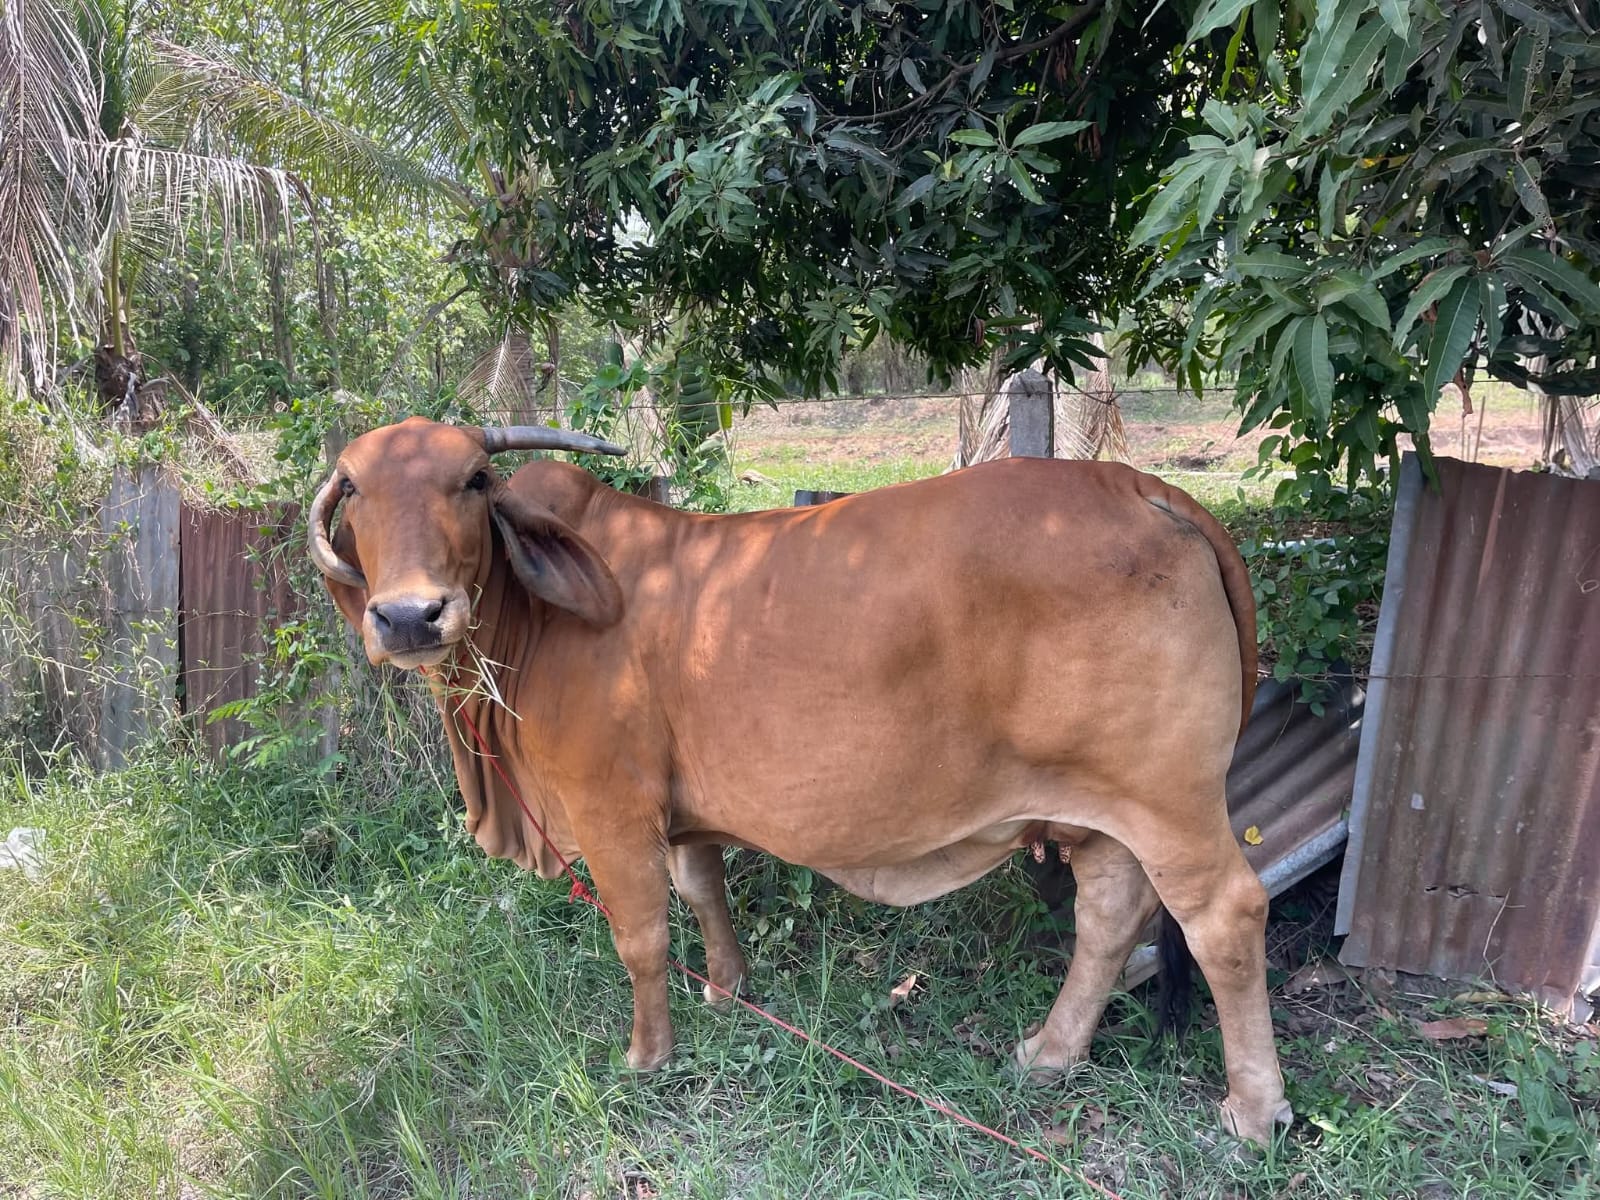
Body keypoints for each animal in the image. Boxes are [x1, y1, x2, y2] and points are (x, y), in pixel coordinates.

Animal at [308, 416, 1293, 1145]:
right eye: (352, 487)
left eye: (476, 479)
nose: (410, 616)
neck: (528, 626)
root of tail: (1145, 487)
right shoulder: (682, 814)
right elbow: (704, 891)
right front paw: (727, 989)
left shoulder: (610, 807)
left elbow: (641, 938)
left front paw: (647, 1055)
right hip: (1101, 809)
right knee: (1109, 918)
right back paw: (1050, 1052)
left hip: (1169, 800)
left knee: (1225, 918)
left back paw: (1254, 1110)